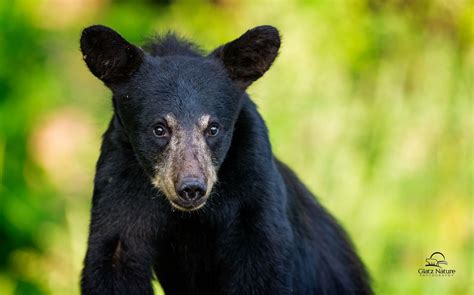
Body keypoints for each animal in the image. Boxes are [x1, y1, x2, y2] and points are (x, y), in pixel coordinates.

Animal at [79, 24, 372, 294]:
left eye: (213, 128)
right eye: (159, 128)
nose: (191, 188)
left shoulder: (253, 178)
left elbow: (263, 263)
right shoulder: (119, 175)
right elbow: (115, 256)